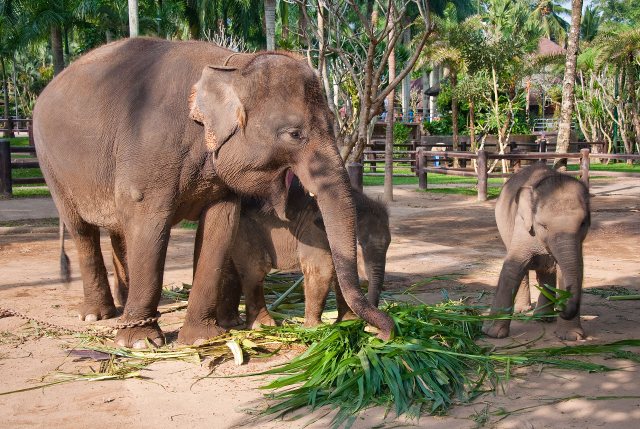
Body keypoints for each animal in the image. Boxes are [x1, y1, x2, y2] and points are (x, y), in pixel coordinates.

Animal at [216, 180, 391, 329]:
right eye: (359, 245)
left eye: (389, 243)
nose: (370, 327)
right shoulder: (312, 233)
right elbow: (322, 270)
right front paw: (315, 328)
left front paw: (348, 322)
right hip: (244, 230)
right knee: (256, 268)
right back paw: (264, 326)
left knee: (231, 272)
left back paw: (232, 323)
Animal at [482, 163, 590, 341]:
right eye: (543, 226)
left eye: (583, 223)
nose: (561, 307)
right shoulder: (522, 225)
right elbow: (512, 267)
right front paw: (492, 333)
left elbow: (572, 270)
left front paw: (572, 336)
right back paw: (523, 310)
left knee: (547, 270)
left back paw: (543, 317)